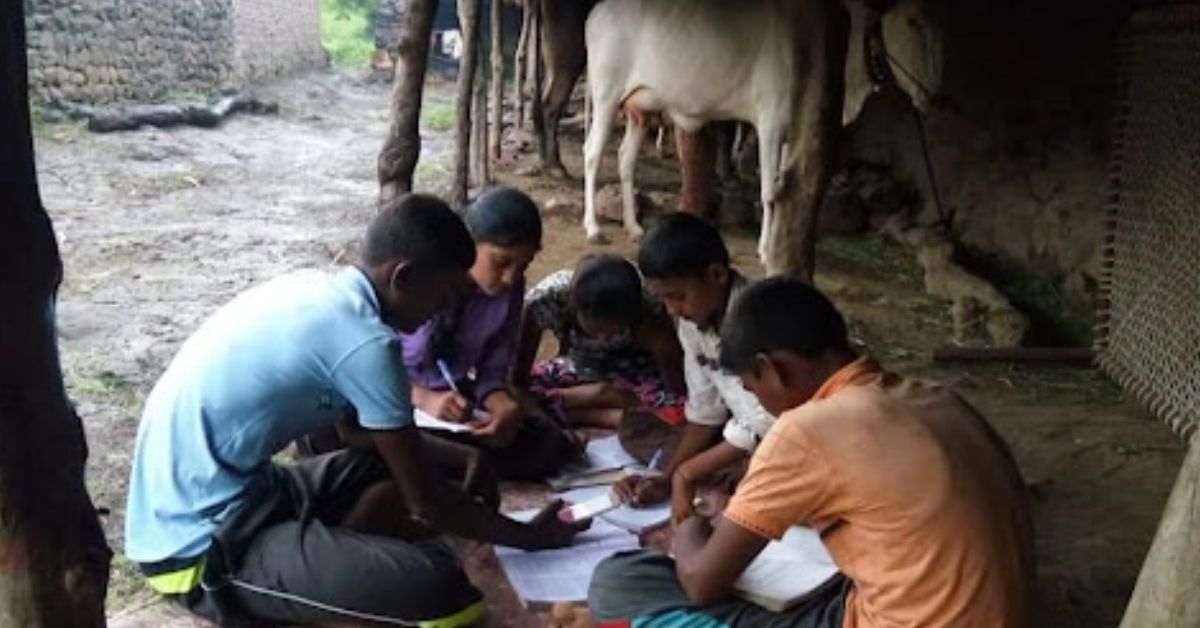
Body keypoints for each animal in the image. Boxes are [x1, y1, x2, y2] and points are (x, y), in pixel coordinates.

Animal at [585, 0, 940, 262]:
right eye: (912, 22)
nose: (932, 93)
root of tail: (595, 13)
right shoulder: (769, 123)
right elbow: (769, 190)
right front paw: (767, 249)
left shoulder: (789, 133)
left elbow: (783, 188)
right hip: (606, 95)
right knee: (592, 153)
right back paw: (593, 228)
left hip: (639, 111)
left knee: (625, 159)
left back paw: (633, 226)